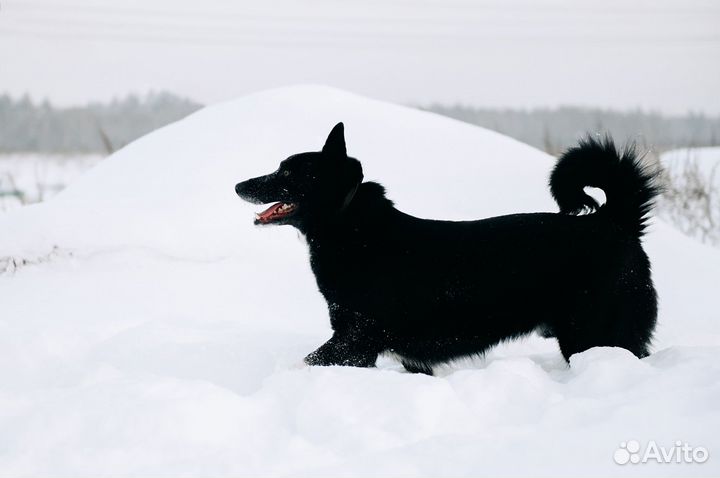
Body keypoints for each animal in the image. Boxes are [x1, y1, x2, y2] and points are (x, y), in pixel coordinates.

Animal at [235, 122, 660, 374]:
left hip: (594, 333)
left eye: (288, 172)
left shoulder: (353, 341)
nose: (239, 185)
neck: (355, 231)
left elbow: (308, 361)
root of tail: (613, 220)